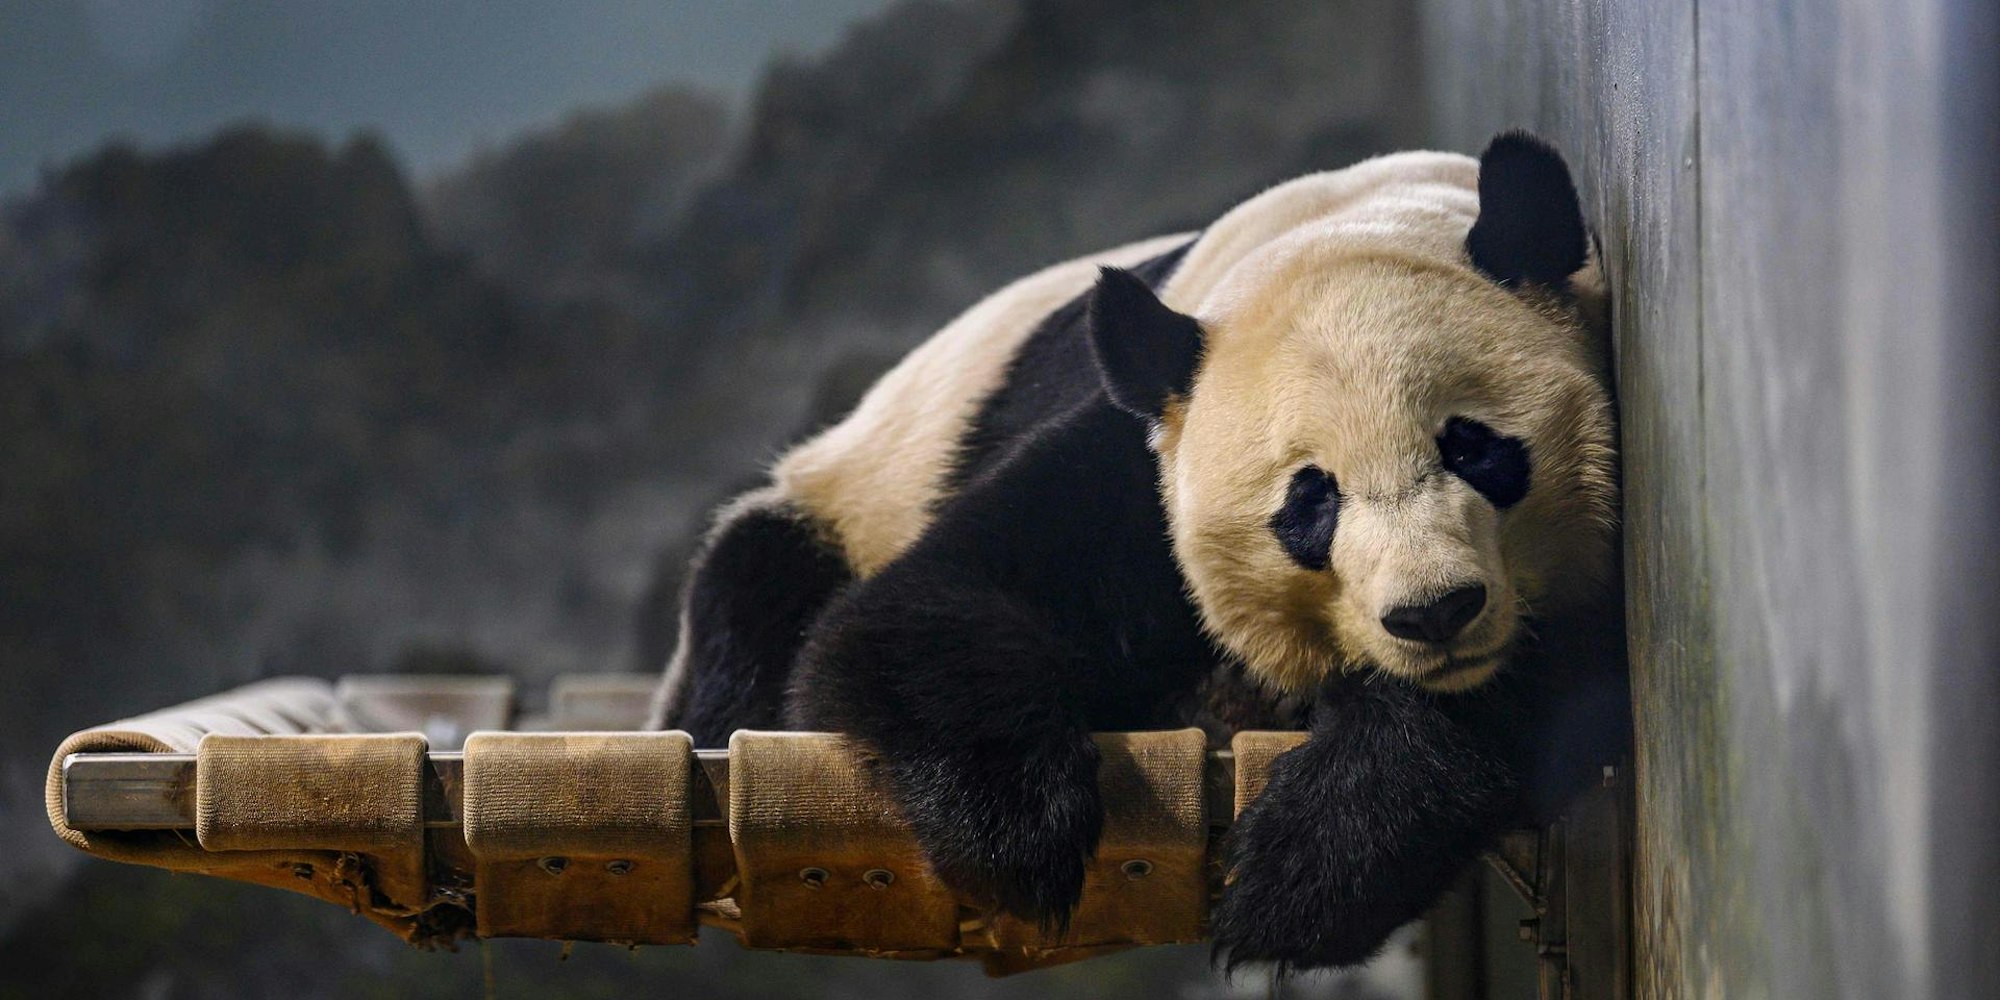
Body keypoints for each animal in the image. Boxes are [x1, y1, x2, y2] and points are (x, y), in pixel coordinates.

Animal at [648, 132, 1628, 970]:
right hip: (834, 500)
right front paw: (1019, 829)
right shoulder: (1142, 460)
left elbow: (1570, 669)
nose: (1434, 614)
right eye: (1310, 501)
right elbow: (922, 607)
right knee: (755, 601)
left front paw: (1307, 866)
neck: (1350, 223)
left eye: (1472, 448)